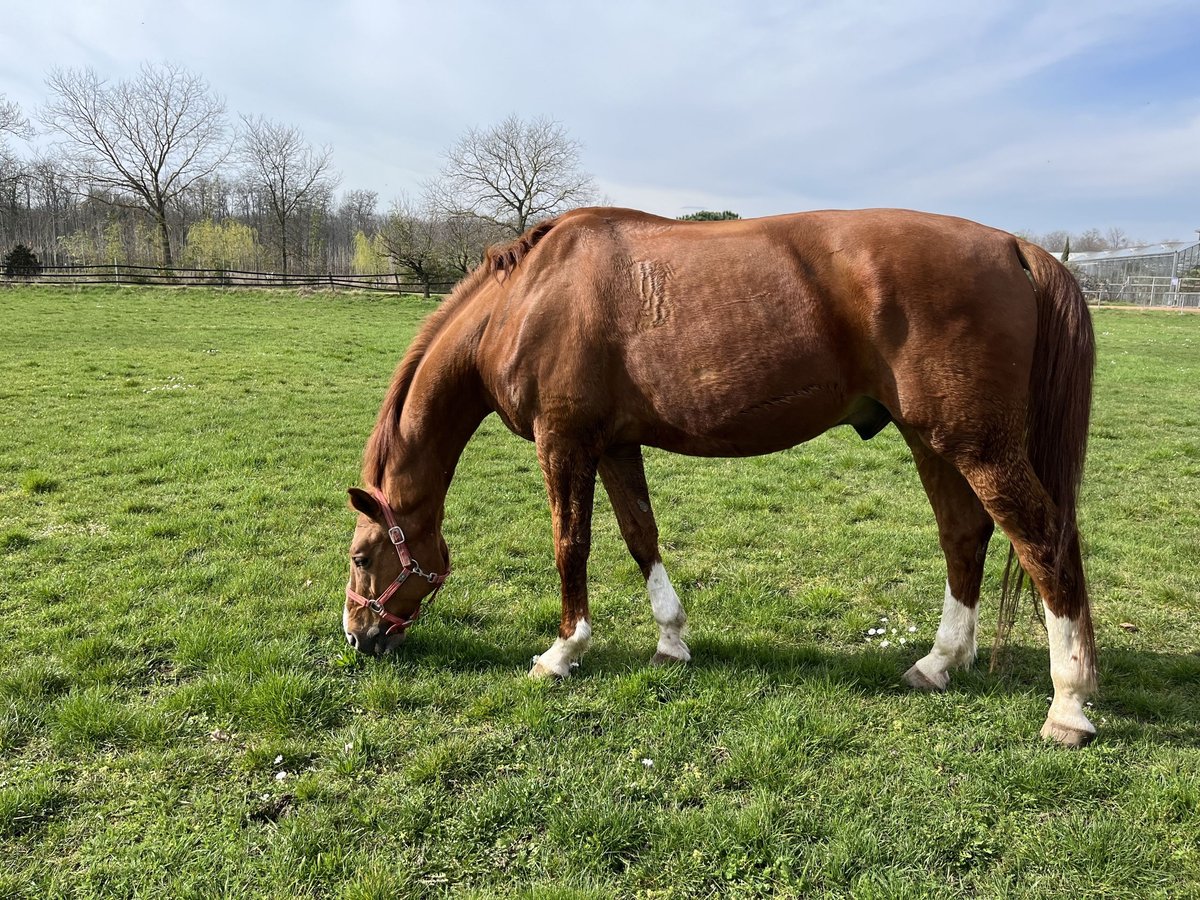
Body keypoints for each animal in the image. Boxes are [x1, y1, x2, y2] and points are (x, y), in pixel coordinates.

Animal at [343, 210, 1099, 748]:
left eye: (361, 557)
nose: (358, 637)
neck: (525, 299)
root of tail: (1014, 247)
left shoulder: (565, 445)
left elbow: (571, 546)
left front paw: (562, 652)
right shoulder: (616, 447)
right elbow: (640, 536)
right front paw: (671, 642)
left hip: (979, 448)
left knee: (1044, 545)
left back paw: (1068, 705)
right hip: (932, 442)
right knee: (964, 537)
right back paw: (940, 663)